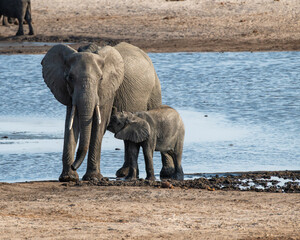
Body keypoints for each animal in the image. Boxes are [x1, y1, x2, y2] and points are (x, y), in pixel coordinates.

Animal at [42, 42, 173, 182]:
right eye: (70, 78)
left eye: (101, 78)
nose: (74, 166)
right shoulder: (68, 92)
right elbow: (71, 124)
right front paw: (68, 178)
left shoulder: (108, 90)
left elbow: (99, 125)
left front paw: (92, 178)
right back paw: (124, 173)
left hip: (155, 89)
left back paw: (166, 173)